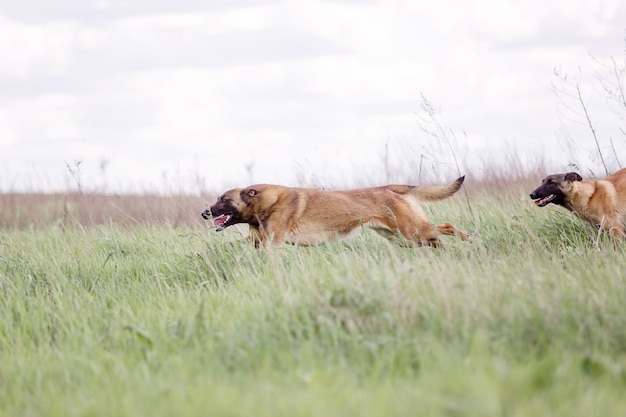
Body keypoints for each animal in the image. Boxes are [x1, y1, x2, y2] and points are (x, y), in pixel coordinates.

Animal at [202, 176, 470, 247]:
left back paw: (469, 239)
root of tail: (391, 186)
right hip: (402, 238)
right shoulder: (258, 239)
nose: (205, 213)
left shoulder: (271, 243)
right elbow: (228, 244)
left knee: (446, 227)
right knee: (437, 237)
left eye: (223, 199)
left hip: (412, 232)